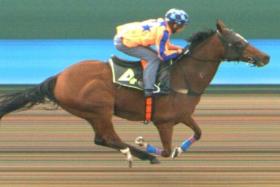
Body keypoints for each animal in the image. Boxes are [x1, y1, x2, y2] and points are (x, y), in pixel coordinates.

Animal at [0, 20, 270, 167]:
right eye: (238, 42)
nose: (266, 57)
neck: (184, 77)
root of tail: (59, 76)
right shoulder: (164, 122)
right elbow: (165, 149)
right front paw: (147, 145)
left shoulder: (183, 115)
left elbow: (198, 133)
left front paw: (181, 149)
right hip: (100, 108)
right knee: (108, 138)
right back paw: (141, 154)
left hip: (92, 113)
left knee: (101, 139)